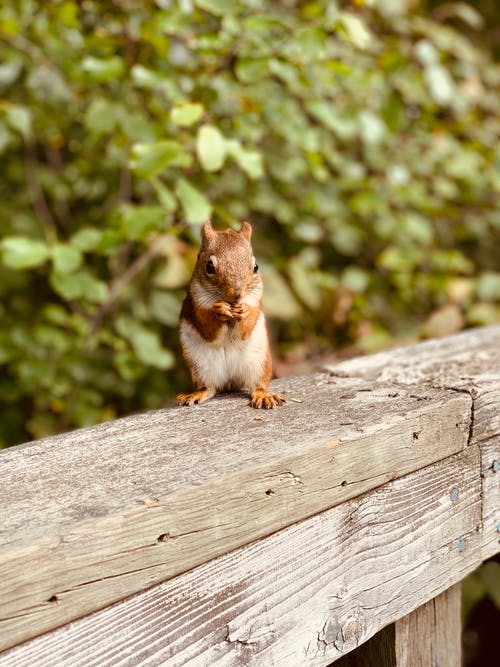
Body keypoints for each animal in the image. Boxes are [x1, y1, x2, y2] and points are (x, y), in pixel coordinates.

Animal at [177, 222, 286, 410]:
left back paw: (264, 396)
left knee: (257, 386)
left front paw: (244, 310)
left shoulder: (256, 301)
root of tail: (230, 382)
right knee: (209, 387)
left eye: (256, 267)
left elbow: (247, 326)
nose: (237, 294)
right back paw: (196, 394)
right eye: (209, 267)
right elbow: (208, 327)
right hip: (200, 366)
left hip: (258, 362)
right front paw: (219, 310)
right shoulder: (195, 306)